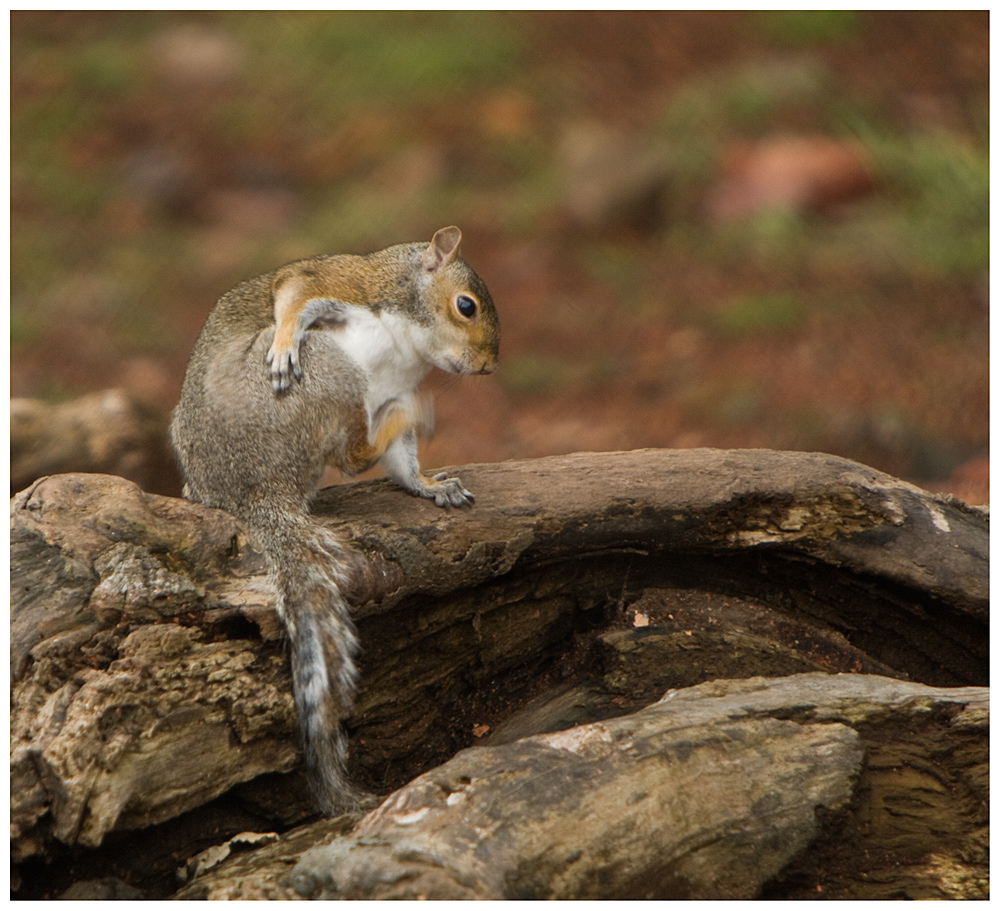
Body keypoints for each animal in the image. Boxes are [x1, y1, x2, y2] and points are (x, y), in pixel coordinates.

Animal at [172, 226, 504, 812]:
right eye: (465, 305)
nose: (489, 365)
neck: (409, 340)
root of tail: (249, 494)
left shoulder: (395, 379)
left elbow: (402, 466)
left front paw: (429, 486)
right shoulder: (348, 282)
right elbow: (294, 288)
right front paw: (284, 339)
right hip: (328, 368)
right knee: (353, 455)